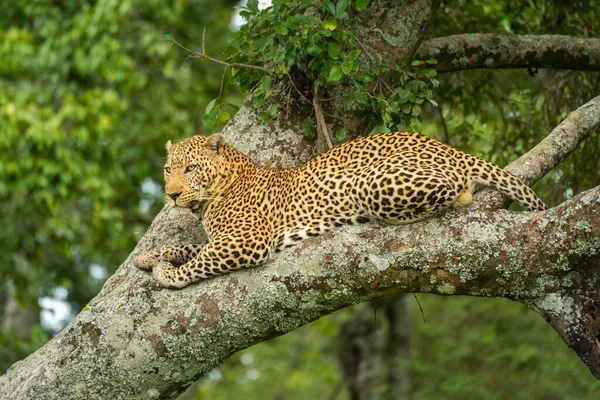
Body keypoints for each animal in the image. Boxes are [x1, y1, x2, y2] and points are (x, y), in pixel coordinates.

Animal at [134, 131, 548, 288]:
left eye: (190, 168)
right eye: (169, 169)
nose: (171, 195)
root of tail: (449, 149)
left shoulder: (247, 240)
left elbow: (198, 261)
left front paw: (167, 275)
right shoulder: (223, 237)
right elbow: (189, 247)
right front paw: (148, 257)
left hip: (368, 182)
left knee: (455, 193)